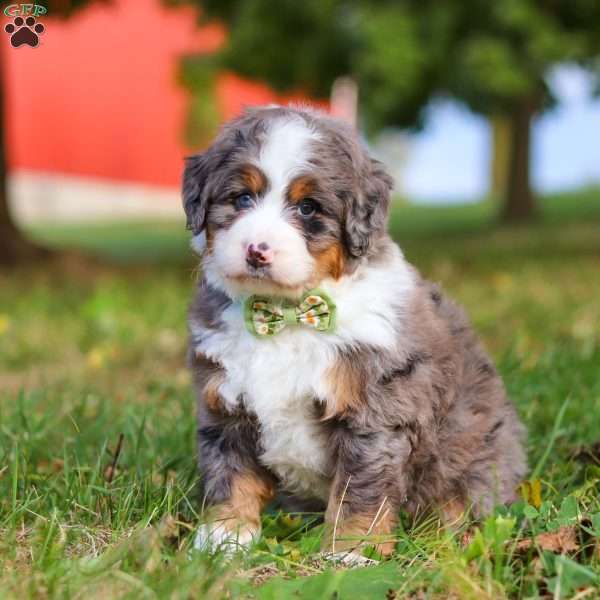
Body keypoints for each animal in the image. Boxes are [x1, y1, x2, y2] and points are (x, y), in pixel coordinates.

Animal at [183, 105, 524, 560]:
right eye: (241, 198)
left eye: (308, 208)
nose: (257, 251)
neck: (287, 316)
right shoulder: (226, 403)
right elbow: (231, 472)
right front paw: (224, 538)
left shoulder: (376, 413)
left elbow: (358, 490)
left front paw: (348, 552)